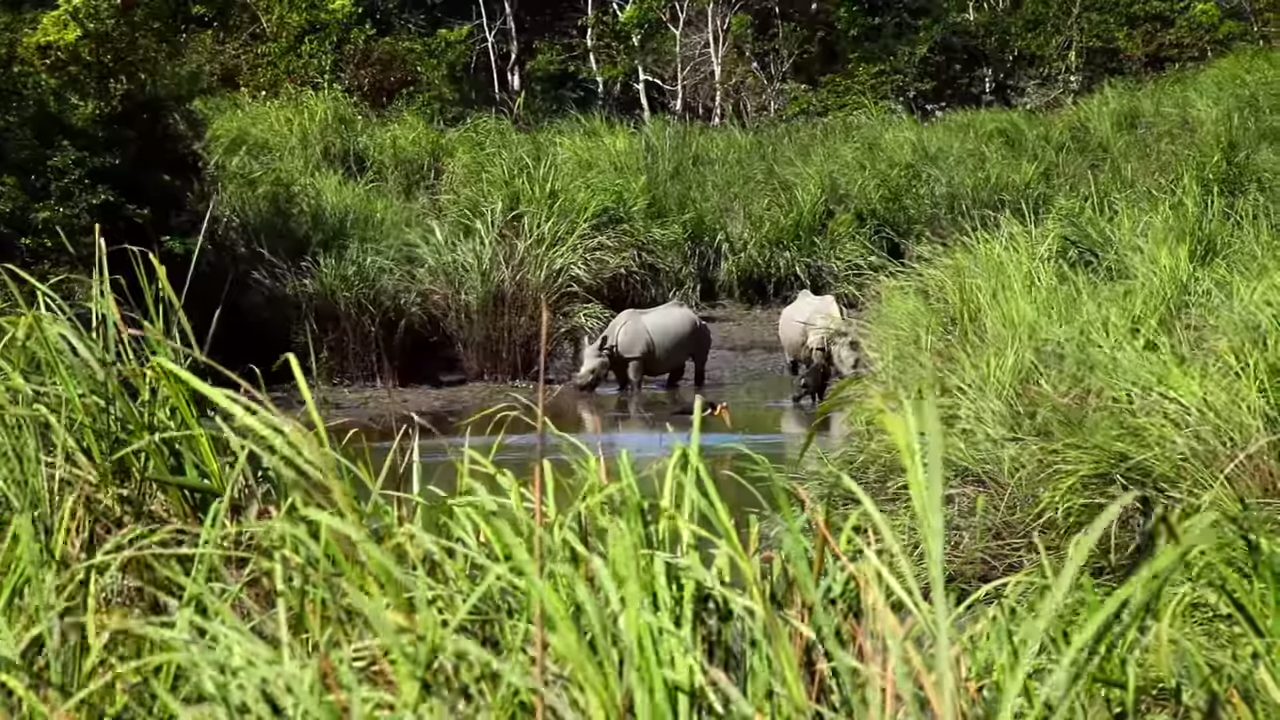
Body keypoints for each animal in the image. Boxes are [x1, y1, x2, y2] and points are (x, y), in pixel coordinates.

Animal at [576, 298, 716, 392]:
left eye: (593, 371)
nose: (579, 387)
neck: (607, 347)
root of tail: (695, 315)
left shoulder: (635, 355)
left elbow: (634, 378)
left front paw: (635, 392)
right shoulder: (615, 358)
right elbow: (621, 380)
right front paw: (619, 391)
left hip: (700, 329)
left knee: (699, 360)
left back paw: (697, 387)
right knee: (678, 359)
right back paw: (670, 387)